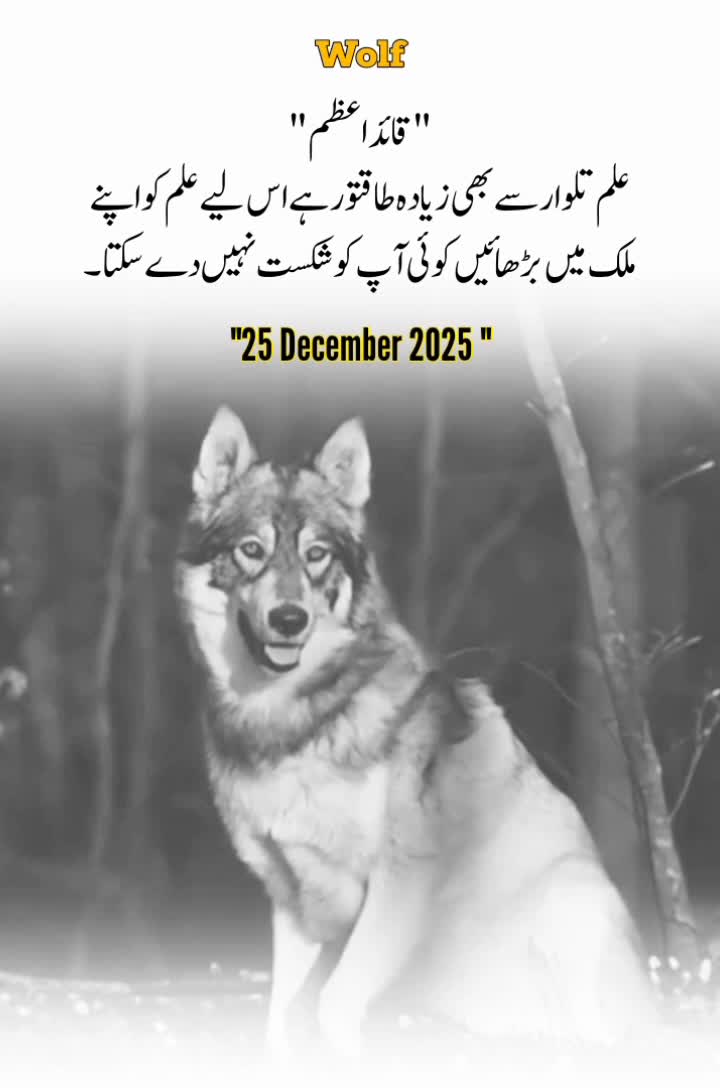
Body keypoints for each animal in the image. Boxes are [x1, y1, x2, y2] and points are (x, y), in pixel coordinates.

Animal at [175, 405, 655, 1056]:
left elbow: (332, 1006)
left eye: (317, 554)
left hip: (570, 900)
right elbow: (279, 1023)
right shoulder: (293, 897)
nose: (289, 619)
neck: (292, 718)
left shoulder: (399, 877)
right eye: (252, 549)